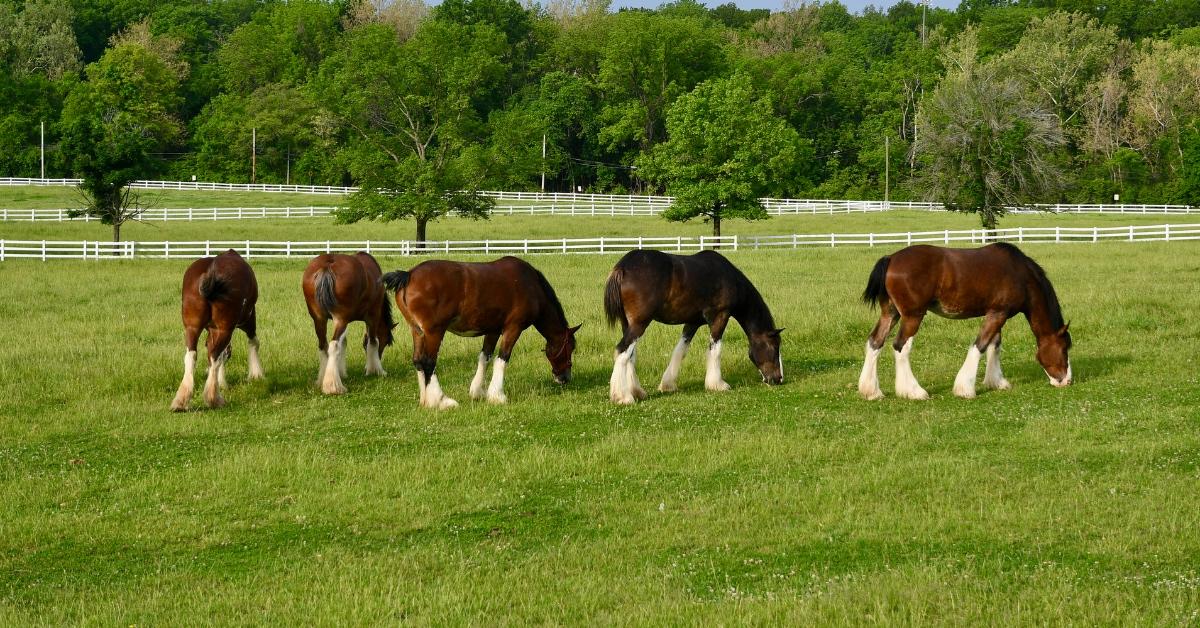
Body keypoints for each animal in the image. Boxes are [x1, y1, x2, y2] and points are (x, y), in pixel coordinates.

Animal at [169, 250, 260, 413]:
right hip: (225, 329)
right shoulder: (248, 319)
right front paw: (256, 375)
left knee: (192, 356)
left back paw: (181, 401)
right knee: (214, 357)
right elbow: (253, 342)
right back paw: (214, 399)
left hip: (192, 328)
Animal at [302, 253, 396, 396]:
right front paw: (376, 370)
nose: (380, 356)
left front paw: (341, 372)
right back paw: (333, 386)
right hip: (341, 319)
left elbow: (344, 343)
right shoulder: (373, 316)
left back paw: (323, 379)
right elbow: (373, 342)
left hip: (319, 319)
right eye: (386, 342)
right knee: (334, 345)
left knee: (323, 346)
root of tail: (327, 266)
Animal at [376, 256, 578, 410]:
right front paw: (497, 395)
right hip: (434, 332)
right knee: (428, 362)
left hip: (417, 331)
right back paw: (441, 400)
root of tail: (408, 275)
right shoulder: (513, 328)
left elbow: (485, 357)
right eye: (571, 347)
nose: (565, 378)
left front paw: (478, 391)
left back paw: (426, 400)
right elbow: (502, 358)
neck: (531, 285)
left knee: (418, 361)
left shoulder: (493, 330)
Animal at [604, 248, 782, 405]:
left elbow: (680, 351)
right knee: (622, 351)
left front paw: (668, 384)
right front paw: (717, 384)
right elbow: (715, 350)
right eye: (774, 347)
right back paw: (623, 397)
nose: (779, 379)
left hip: (628, 324)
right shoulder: (720, 317)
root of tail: (623, 267)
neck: (728, 278)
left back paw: (636, 391)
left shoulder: (692, 323)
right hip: (639, 324)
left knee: (630, 355)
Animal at [859, 243, 1075, 401]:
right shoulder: (998, 313)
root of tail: (891, 258)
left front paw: (997, 382)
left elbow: (994, 346)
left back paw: (871, 391)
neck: (1019, 274)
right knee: (900, 346)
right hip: (912, 316)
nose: (1067, 381)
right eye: (1064, 349)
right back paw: (913, 391)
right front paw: (965, 389)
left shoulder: (997, 313)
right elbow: (980, 346)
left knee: (875, 342)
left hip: (890, 314)